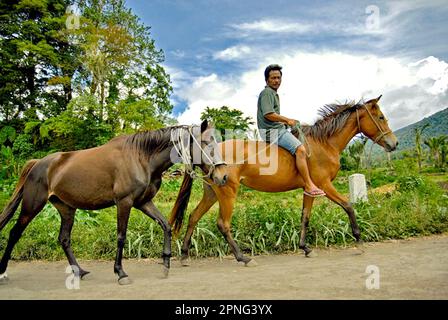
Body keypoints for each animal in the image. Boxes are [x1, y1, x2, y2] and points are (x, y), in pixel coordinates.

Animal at [0, 120, 228, 284]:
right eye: (207, 143)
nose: (223, 176)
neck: (141, 157)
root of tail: (38, 163)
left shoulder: (143, 202)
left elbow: (166, 225)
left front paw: (165, 265)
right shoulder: (124, 203)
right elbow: (121, 237)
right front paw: (121, 273)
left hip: (67, 209)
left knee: (64, 239)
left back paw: (79, 271)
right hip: (32, 206)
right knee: (14, 233)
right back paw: (3, 272)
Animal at [170, 96, 398, 266]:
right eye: (380, 117)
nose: (394, 143)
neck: (323, 143)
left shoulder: (310, 189)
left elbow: (305, 217)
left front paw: (305, 248)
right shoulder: (324, 185)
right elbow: (348, 205)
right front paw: (359, 241)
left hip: (212, 192)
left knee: (193, 217)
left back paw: (184, 255)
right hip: (228, 192)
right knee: (222, 224)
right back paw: (242, 257)